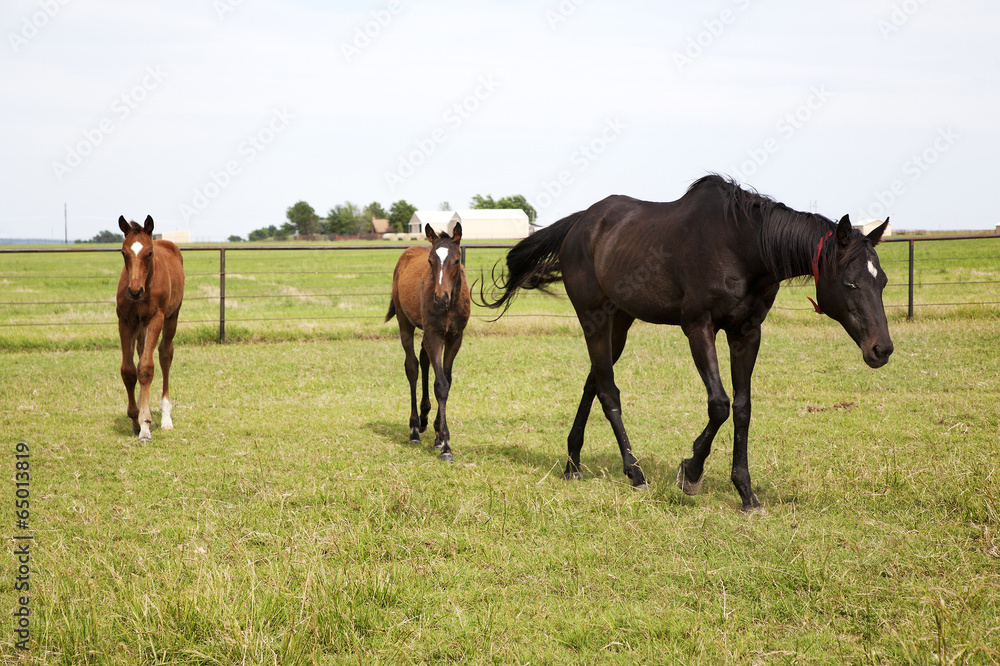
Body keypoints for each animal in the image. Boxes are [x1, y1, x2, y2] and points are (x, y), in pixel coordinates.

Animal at [115, 215, 185, 442]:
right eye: (123, 252)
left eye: (149, 252)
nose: (135, 291)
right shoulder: (125, 321)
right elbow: (129, 370)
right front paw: (134, 416)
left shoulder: (156, 318)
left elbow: (146, 368)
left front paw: (145, 425)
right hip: (140, 325)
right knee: (141, 353)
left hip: (171, 317)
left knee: (164, 354)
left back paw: (165, 417)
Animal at [385, 223, 471, 461]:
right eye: (431, 261)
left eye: (456, 260)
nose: (440, 298)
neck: (450, 306)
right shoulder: (434, 334)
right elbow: (440, 384)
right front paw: (446, 445)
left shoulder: (455, 337)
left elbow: (446, 379)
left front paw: (438, 436)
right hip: (405, 323)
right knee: (413, 367)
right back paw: (415, 428)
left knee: (424, 360)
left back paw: (424, 419)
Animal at [483, 175, 892, 511]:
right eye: (850, 283)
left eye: (883, 281)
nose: (882, 349)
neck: (742, 247)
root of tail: (581, 221)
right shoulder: (698, 327)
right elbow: (719, 405)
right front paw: (691, 472)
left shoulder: (747, 332)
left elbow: (742, 408)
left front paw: (746, 493)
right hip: (593, 318)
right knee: (609, 391)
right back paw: (635, 473)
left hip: (621, 321)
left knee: (594, 382)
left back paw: (573, 463)